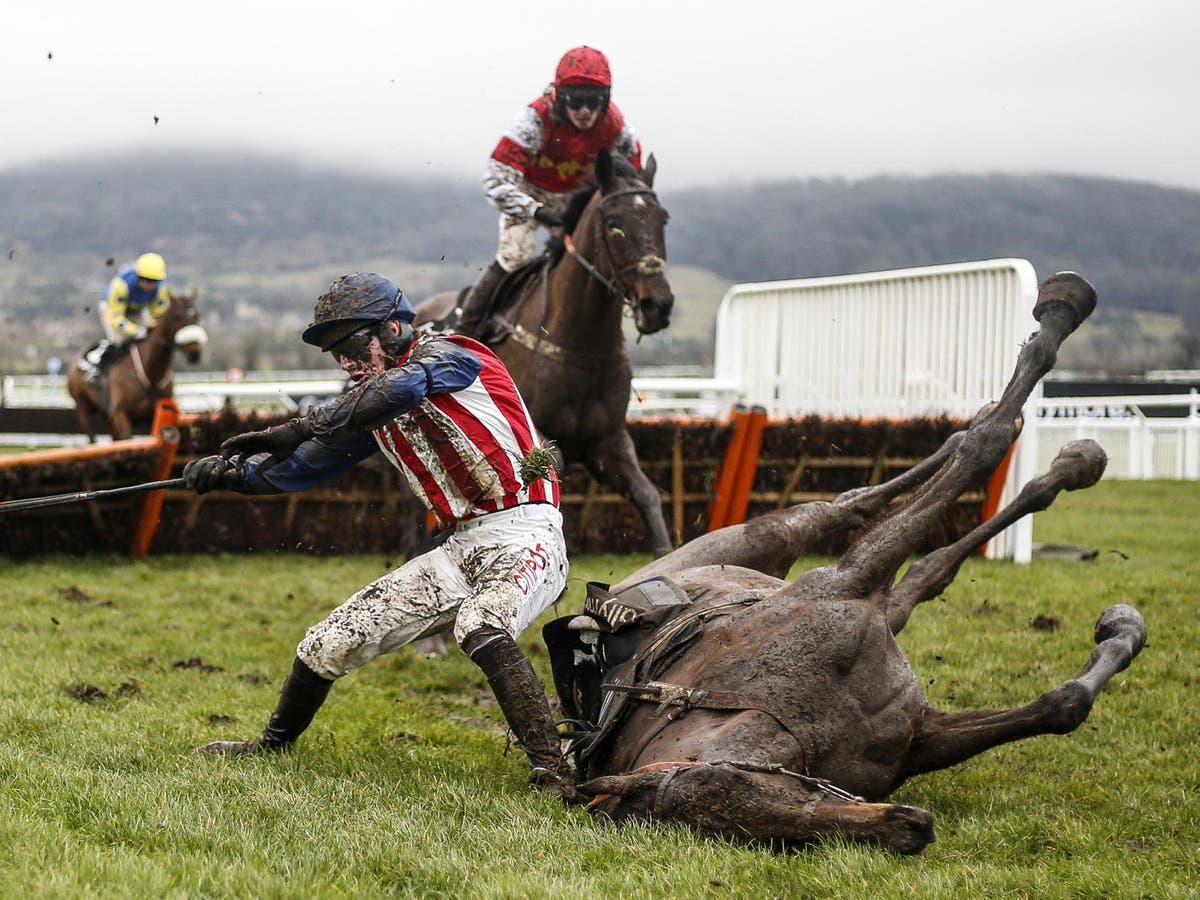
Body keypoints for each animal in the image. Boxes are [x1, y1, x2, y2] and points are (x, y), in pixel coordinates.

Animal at [67, 290, 206, 441]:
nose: (194, 353)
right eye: (177, 317)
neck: (151, 375)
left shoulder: (154, 415)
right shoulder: (120, 414)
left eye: (197, 316)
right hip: (83, 408)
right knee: (92, 437)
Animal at [549, 274, 1147, 859]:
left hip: (767, 542)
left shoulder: (848, 582)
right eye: (756, 817)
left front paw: (1049, 333)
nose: (910, 825)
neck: (796, 717)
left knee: (848, 506)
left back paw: (1050, 429)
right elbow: (1061, 705)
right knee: (916, 568)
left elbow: (984, 445)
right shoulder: (922, 733)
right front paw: (1121, 629)